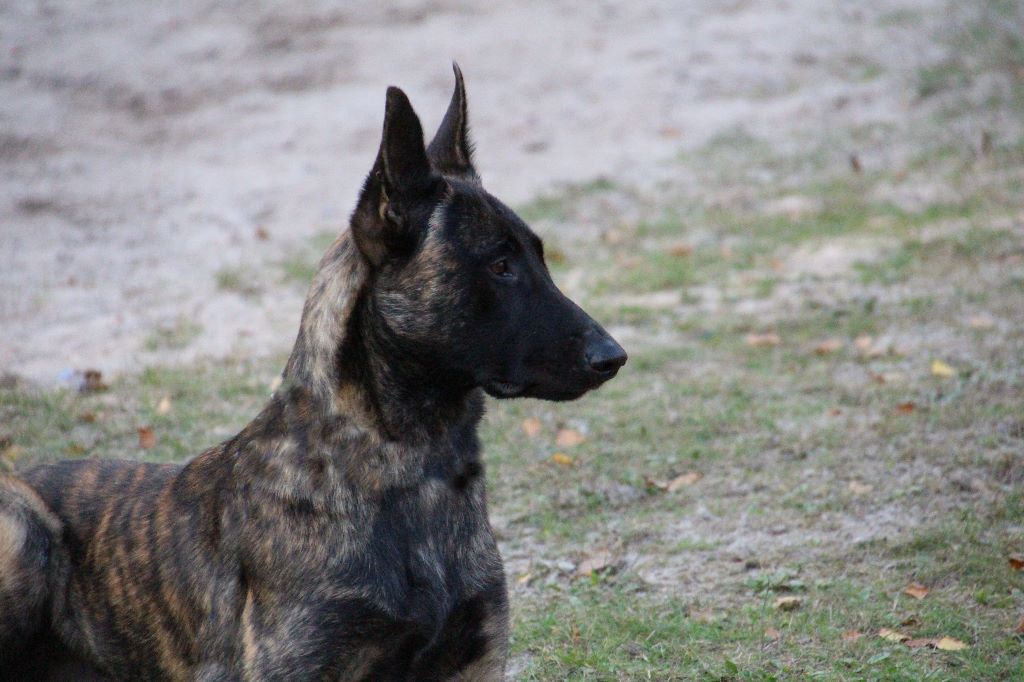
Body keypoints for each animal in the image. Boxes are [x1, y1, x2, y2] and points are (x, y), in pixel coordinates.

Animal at [0, 65, 622, 679]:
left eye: (537, 256)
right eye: (500, 264)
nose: (613, 356)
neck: (406, 467)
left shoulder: (476, 658)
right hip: (26, 534)